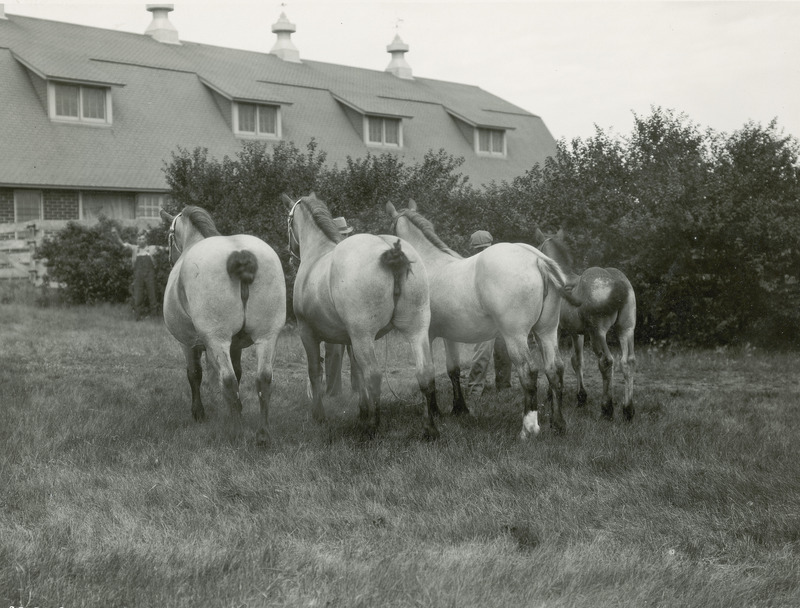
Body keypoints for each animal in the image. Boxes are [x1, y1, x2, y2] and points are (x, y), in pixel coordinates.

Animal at [159, 207, 284, 444]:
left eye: (169, 237)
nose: (168, 259)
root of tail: (239, 253)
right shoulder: (235, 345)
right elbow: (239, 372)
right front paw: (238, 410)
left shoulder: (187, 343)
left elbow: (195, 374)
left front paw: (198, 413)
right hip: (267, 336)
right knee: (263, 379)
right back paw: (263, 435)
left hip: (217, 339)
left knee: (228, 380)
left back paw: (236, 433)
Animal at [284, 192, 438, 440]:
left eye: (289, 222)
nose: (290, 255)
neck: (318, 253)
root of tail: (392, 250)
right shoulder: (350, 338)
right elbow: (356, 371)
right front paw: (363, 410)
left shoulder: (307, 332)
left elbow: (315, 371)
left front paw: (319, 415)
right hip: (417, 329)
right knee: (425, 373)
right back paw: (429, 429)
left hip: (364, 336)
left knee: (374, 375)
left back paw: (372, 428)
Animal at [384, 202, 580, 440]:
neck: (430, 262)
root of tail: (537, 259)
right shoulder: (448, 335)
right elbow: (453, 370)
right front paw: (459, 408)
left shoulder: (426, 335)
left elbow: (430, 373)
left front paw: (436, 412)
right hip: (547, 331)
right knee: (555, 370)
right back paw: (558, 424)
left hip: (515, 335)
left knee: (529, 371)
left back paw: (528, 429)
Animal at [536, 226, 636, 420]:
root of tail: (616, 281)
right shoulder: (577, 332)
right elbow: (577, 361)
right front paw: (581, 397)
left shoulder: (554, 331)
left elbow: (552, 362)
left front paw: (551, 396)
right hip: (626, 329)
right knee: (628, 362)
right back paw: (628, 410)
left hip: (598, 332)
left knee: (606, 361)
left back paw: (607, 409)